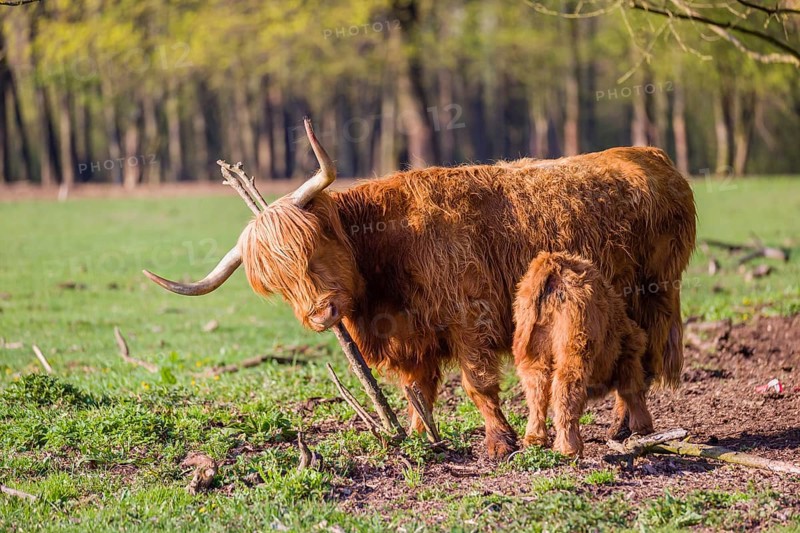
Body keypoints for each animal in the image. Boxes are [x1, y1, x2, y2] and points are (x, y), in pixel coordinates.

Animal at [512, 251, 653, 457]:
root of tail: (554, 262)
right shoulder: (629, 357)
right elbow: (633, 390)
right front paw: (643, 427)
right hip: (575, 349)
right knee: (565, 390)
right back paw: (570, 447)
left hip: (534, 353)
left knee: (536, 392)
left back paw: (535, 439)